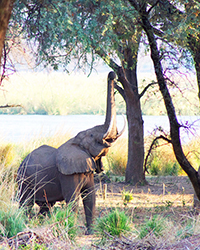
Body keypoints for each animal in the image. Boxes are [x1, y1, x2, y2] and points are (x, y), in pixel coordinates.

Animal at [17, 71, 124, 234]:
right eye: (92, 135)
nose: (112, 74)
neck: (76, 142)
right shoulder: (68, 173)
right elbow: (73, 199)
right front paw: (71, 231)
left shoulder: (87, 168)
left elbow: (90, 197)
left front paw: (91, 232)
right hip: (24, 180)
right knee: (25, 203)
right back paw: (24, 223)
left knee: (45, 206)